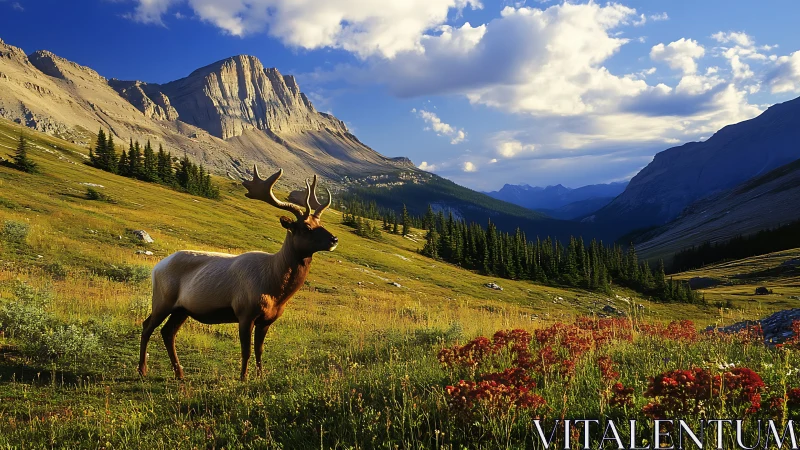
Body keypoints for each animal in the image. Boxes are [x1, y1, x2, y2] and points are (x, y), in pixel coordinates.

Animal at [137, 167, 338, 381]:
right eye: (307, 227)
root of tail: (157, 267)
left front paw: (260, 376)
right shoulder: (245, 312)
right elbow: (246, 350)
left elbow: (260, 350)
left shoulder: (267, 320)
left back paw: (179, 372)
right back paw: (142, 369)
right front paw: (243, 378)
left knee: (168, 332)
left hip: (182, 309)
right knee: (147, 325)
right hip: (162, 299)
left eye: (321, 222)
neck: (275, 289)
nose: (334, 239)